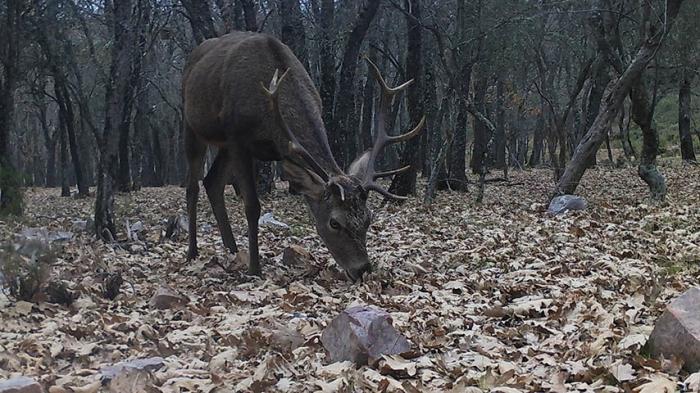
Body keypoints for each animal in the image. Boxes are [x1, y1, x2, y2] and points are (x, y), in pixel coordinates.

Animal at [182, 32, 422, 280]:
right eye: (334, 223)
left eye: (368, 218)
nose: (362, 269)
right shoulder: (237, 138)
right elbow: (252, 206)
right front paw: (255, 270)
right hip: (192, 124)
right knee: (193, 187)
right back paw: (193, 252)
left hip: (222, 145)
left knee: (212, 182)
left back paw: (232, 250)